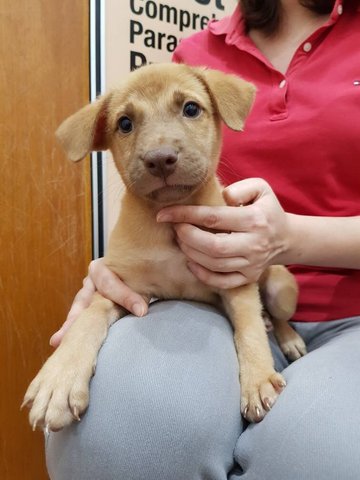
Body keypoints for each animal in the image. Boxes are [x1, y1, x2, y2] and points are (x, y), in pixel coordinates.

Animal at [22, 62, 306, 432]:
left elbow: (249, 330)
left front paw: (258, 380)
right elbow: (87, 318)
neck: (167, 221)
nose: (160, 159)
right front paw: (59, 379)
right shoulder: (121, 287)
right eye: (124, 123)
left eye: (191, 109)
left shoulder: (235, 280)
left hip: (280, 288)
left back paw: (287, 336)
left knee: (275, 315)